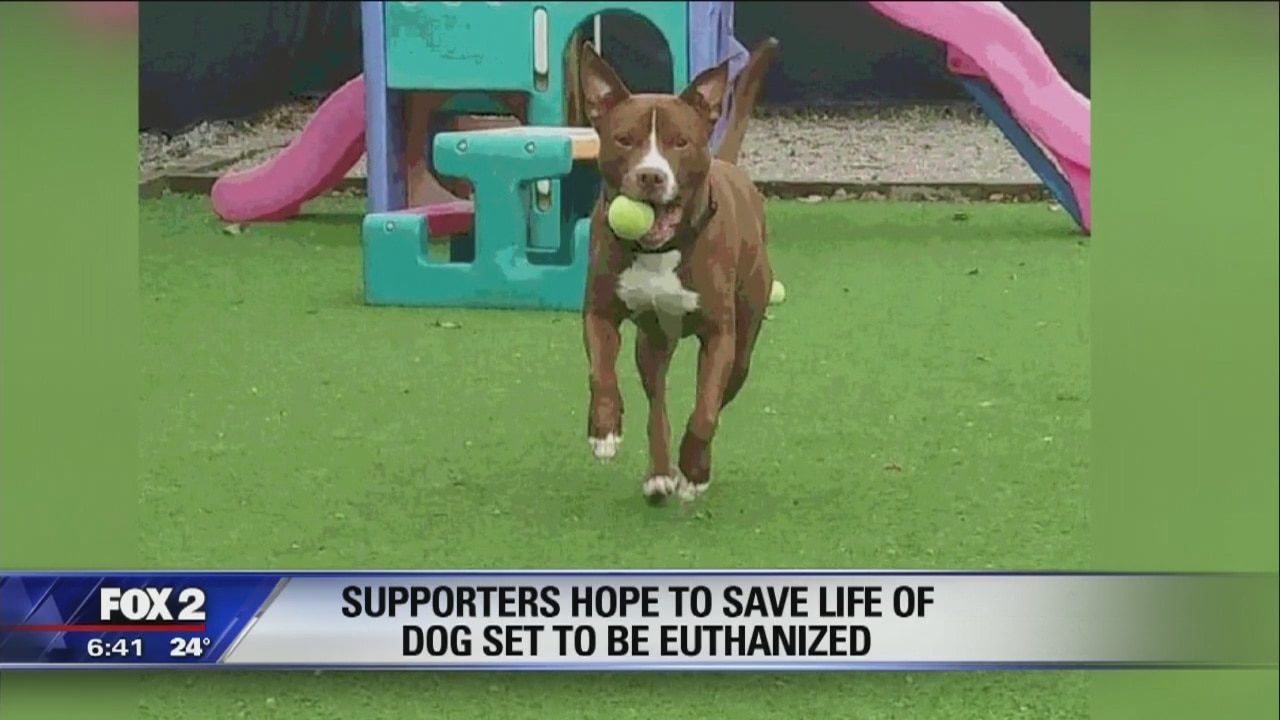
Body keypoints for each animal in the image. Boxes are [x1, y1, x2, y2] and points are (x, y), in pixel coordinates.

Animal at [579, 38, 780, 503]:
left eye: (681, 142)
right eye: (624, 139)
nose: (651, 176)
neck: (660, 249)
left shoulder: (720, 336)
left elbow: (705, 411)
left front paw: (695, 471)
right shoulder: (599, 311)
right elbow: (601, 374)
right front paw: (604, 430)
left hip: (744, 346)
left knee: (718, 395)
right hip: (652, 344)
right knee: (658, 407)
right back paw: (658, 474)